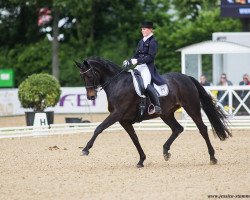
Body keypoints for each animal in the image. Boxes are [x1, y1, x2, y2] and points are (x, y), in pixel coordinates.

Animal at [74, 57, 232, 167]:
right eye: (81, 77)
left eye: (89, 75)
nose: (91, 97)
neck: (117, 84)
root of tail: (187, 77)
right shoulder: (124, 120)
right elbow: (134, 139)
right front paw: (141, 160)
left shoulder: (117, 114)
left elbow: (99, 128)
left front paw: (86, 149)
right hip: (166, 113)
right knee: (177, 128)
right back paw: (166, 151)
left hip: (191, 107)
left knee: (202, 129)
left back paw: (212, 157)